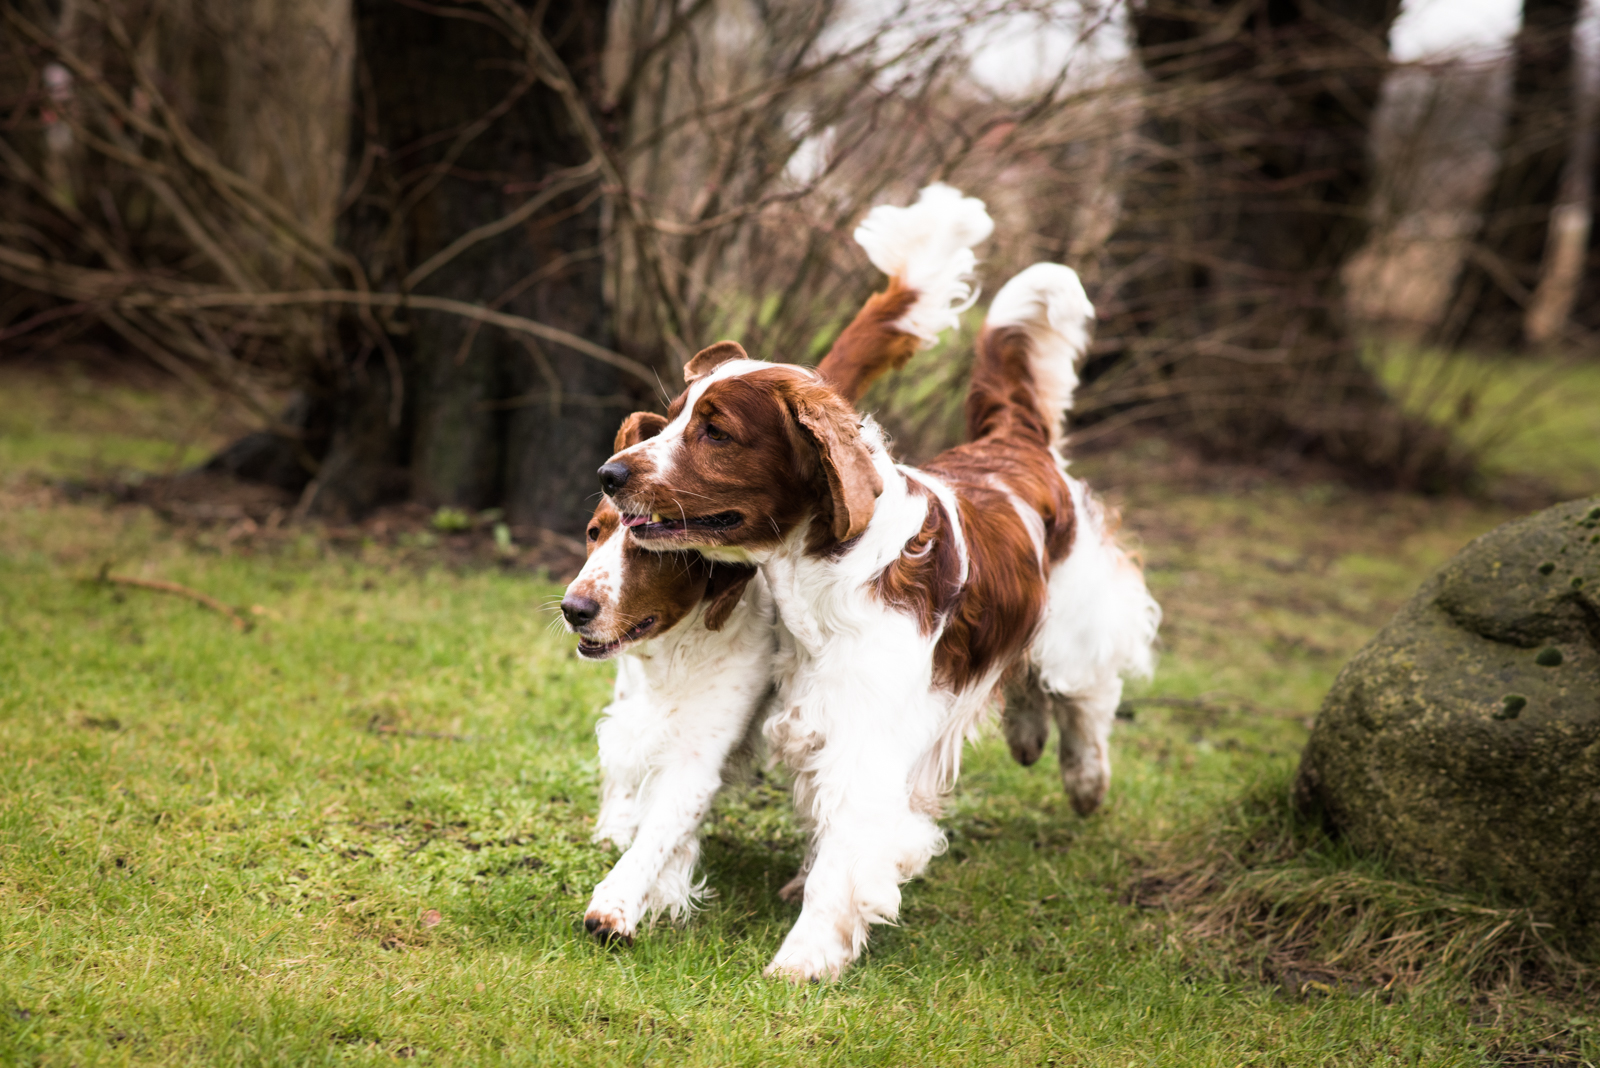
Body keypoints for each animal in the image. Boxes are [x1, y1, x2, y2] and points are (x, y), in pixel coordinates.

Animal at [556, 187, 992, 946]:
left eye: (647, 551)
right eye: (592, 534)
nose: (574, 608)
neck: (678, 652)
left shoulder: (703, 744)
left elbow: (666, 823)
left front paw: (622, 900)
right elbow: (633, 777)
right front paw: (629, 841)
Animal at [595, 262, 1158, 978]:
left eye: (716, 431)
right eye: (669, 421)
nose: (609, 472)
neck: (819, 578)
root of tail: (1013, 440)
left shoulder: (867, 740)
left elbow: (843, 857)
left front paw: (802, 959)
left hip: (1077, 622)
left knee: (1087, 693)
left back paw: (1086, 780)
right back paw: (1029, 736)